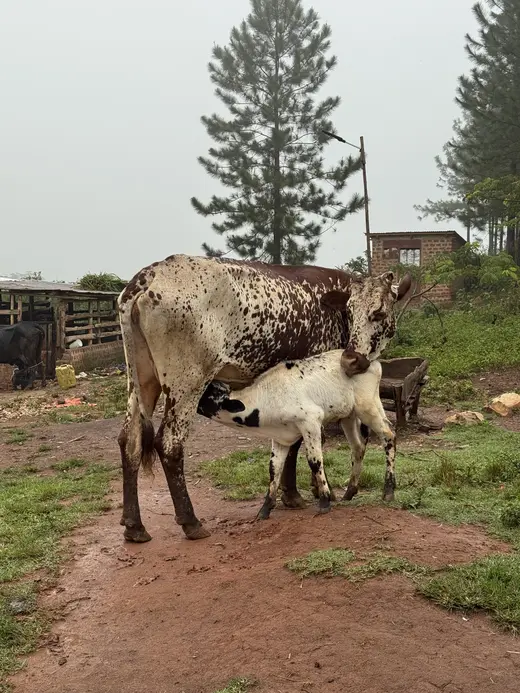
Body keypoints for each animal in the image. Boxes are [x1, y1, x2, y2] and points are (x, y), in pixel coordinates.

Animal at [197, 349, 396, 518]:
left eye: (207, 393)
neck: (265, 399)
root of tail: (371, 361)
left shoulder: (311, 421)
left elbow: (314, 461)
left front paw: (324, 501)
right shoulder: (281, 438)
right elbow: (274, 468)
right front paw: (265, 509)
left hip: (367, 407)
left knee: (388, 436)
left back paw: (388, 491)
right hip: (349, 415)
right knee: (358, 446)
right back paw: (350, 491)